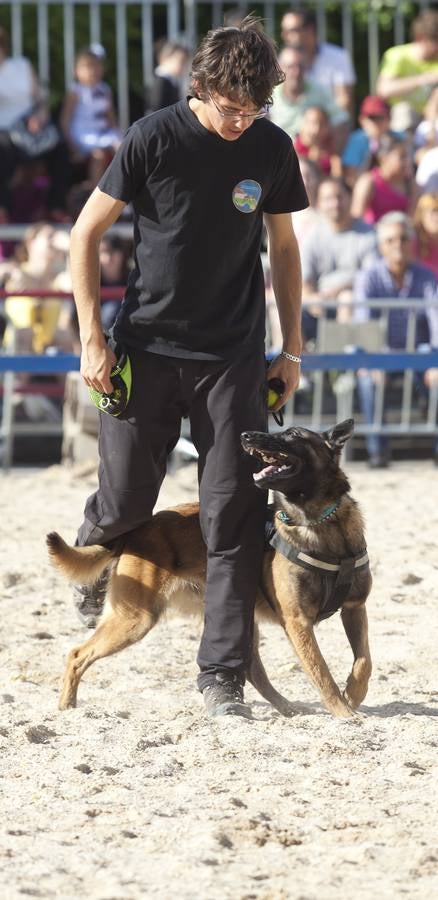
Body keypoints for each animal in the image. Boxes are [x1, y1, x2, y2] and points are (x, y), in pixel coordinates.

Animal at [48, 418, 372, 720]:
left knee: (253, 669)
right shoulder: (298, 622)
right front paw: (344, 713)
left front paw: (353, 695)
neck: (320, 523)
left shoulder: (354, 608)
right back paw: (66, 706)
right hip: (135, 619)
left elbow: (364, 660)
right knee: (76, 654)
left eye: (293, 434)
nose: (246, 435)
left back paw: (286, 707)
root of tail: (139, 529)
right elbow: (321, 671)